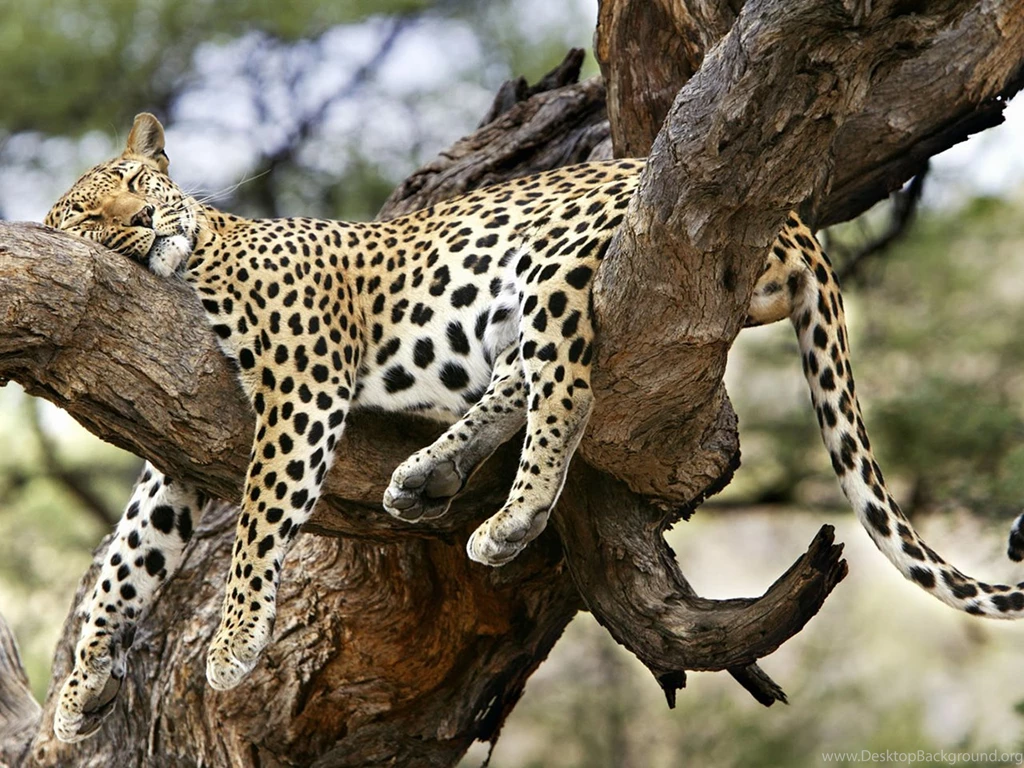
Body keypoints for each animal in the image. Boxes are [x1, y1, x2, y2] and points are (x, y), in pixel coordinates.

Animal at [43, 112, 1024, 743]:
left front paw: (234, 643)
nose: (142, 219)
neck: (195, 260)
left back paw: (508, 518)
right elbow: (128, 558)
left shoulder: (303, 382)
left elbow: (255, 521)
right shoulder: (175, 451)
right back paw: (429, 475)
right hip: (510, 311)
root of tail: (791, 215)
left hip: (556, 264)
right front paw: (77, 689)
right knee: (522, 376)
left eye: (136, 184)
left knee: (568, 390)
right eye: (91, 212)